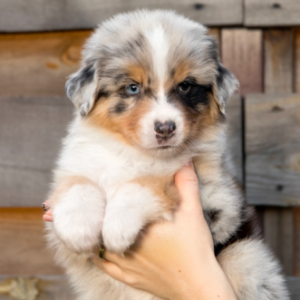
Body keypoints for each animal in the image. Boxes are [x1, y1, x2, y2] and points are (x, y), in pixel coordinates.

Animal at [45, 9, 290, 300]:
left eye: (185, 86)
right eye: (132, 88)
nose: (165, 128)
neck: (132, 151)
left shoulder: (214, 195)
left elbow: (146, 182)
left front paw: (117, 226)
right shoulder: (79, 162)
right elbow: (77, 184)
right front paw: (77, 227)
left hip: (244, 256)